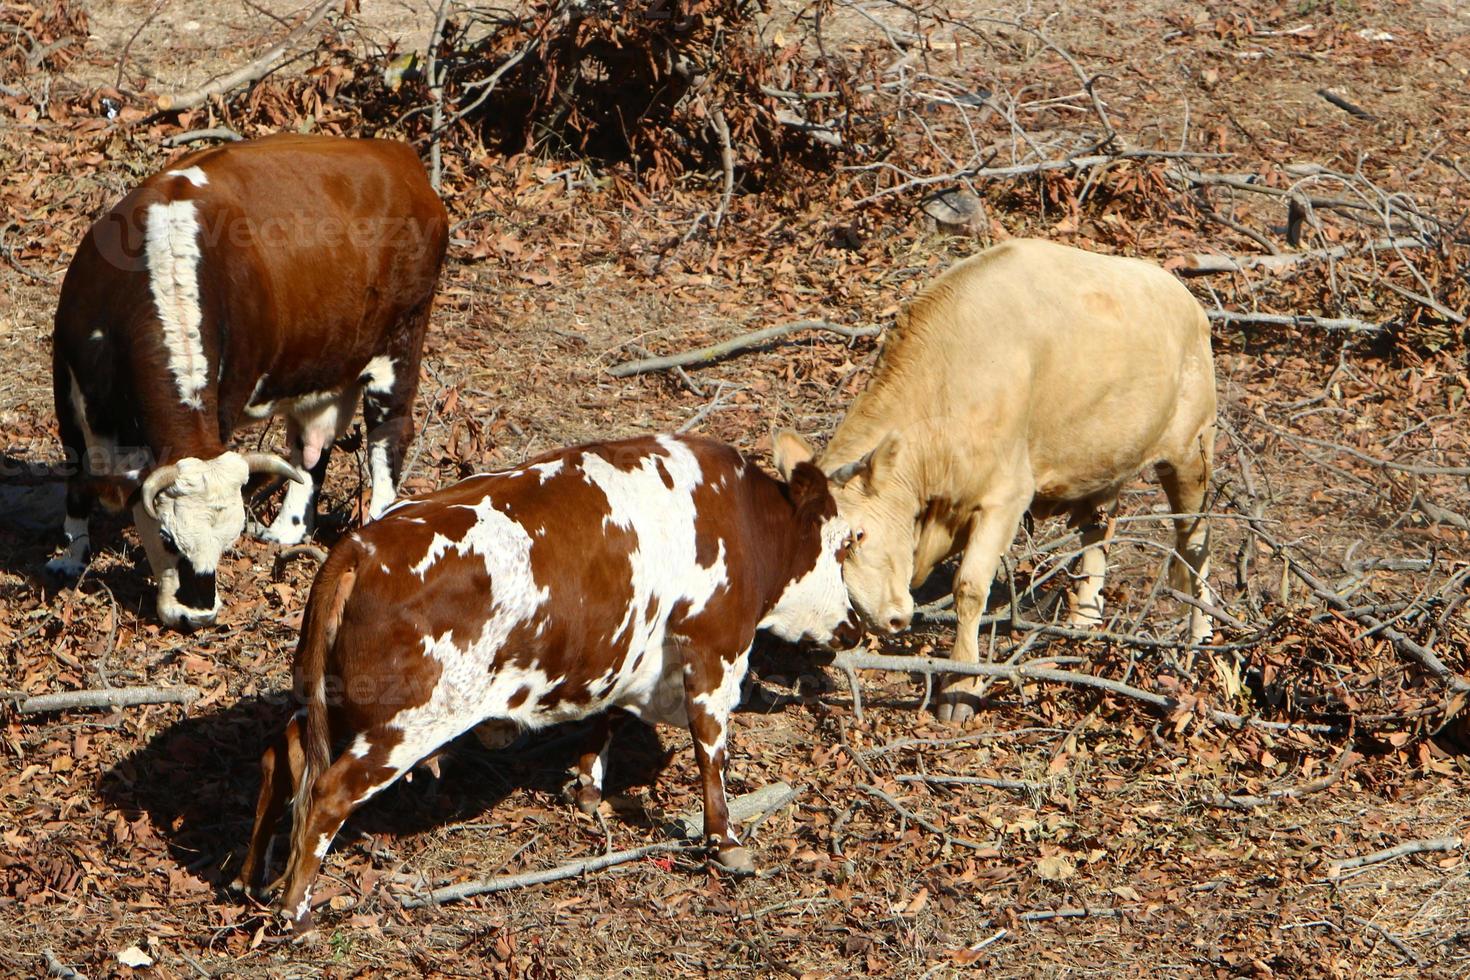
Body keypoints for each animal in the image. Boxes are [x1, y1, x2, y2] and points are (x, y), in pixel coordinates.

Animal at [50, 130, 446, 628]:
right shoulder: (68, 381)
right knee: (312, 446)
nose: (197, 615)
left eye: (226, 539)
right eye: (168, 537)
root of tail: (399, 156)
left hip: (403, 342)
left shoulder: (227, 396)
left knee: (387, 438)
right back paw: (287, 530)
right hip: (324, 364)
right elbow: (77, 469)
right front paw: (69, 556)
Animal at [233, 431, 858, 934]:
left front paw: (587, 786)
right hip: (405, 723)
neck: (742, 515)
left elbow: (606, 716)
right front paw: (725, 842)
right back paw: (295, 911)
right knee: (327, 793)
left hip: (340, 698)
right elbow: (712, 751)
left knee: (283, 753)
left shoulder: (625, 652)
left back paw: (251, 876)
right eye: (844, 542)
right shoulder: (714, 649)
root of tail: (358, 546)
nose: (854, 626)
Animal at [817, 239, 1217, 719]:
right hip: (1103, 459)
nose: (889, 618)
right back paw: (1083, 624)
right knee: (1099, 530)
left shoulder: (1006, 495)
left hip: (1192, 450)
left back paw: (1201, 639)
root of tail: (1185, 298)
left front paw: (960, 685)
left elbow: (969, 587)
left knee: (1195, 542)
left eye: (856, 535)